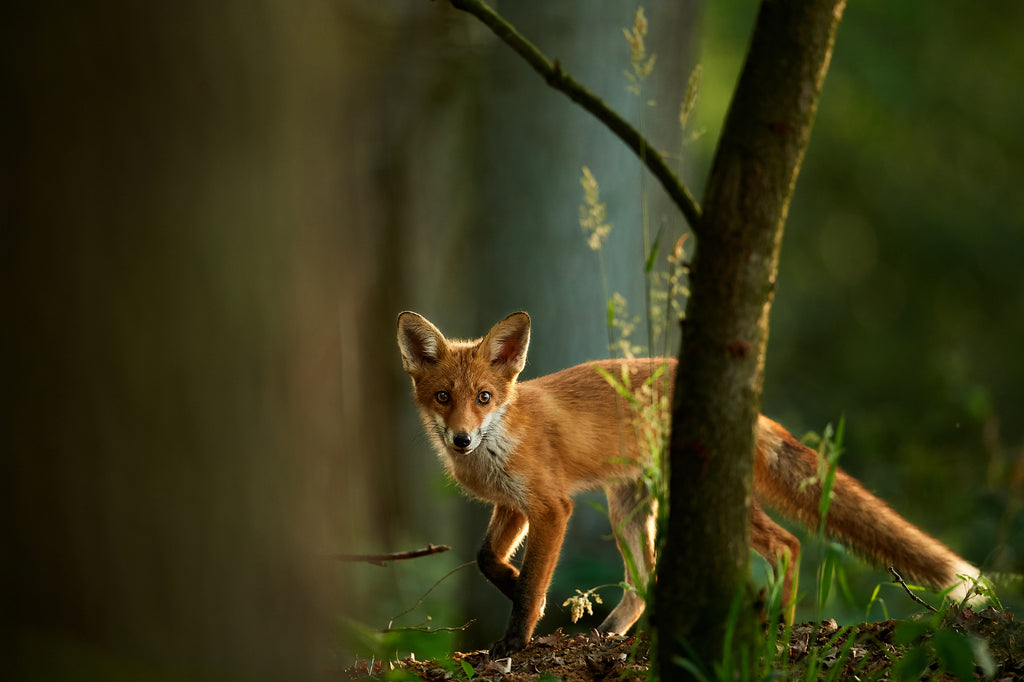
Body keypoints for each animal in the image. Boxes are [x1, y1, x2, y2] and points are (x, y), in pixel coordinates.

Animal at [395, 311, 978, 655]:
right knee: (644, 582)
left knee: (786, 545)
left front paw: (516, 638)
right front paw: (517, 586)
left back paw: (781, 627)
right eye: (444, 397)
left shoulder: (551, 507)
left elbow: (532, 583)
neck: (496, 447)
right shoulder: (515, 506)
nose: (462, 440)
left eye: (484, 398)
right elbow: (487, 560)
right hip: (627, 509)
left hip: (697, 491)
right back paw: (611, 636)